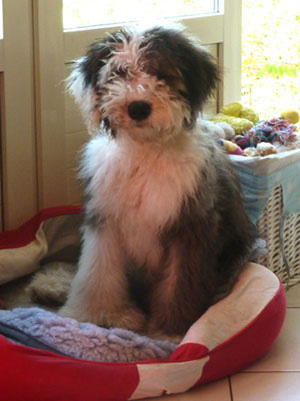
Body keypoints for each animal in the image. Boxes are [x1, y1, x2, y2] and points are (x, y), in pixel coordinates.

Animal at [60, 25, 258, 334]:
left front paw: (169, 330)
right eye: (119, 72)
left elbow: (179, 283)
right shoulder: (105, 221)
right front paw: (98, 314)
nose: (138, 108)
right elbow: (98, 271)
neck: (146, 151)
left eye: (161, 74)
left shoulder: (190, 224)